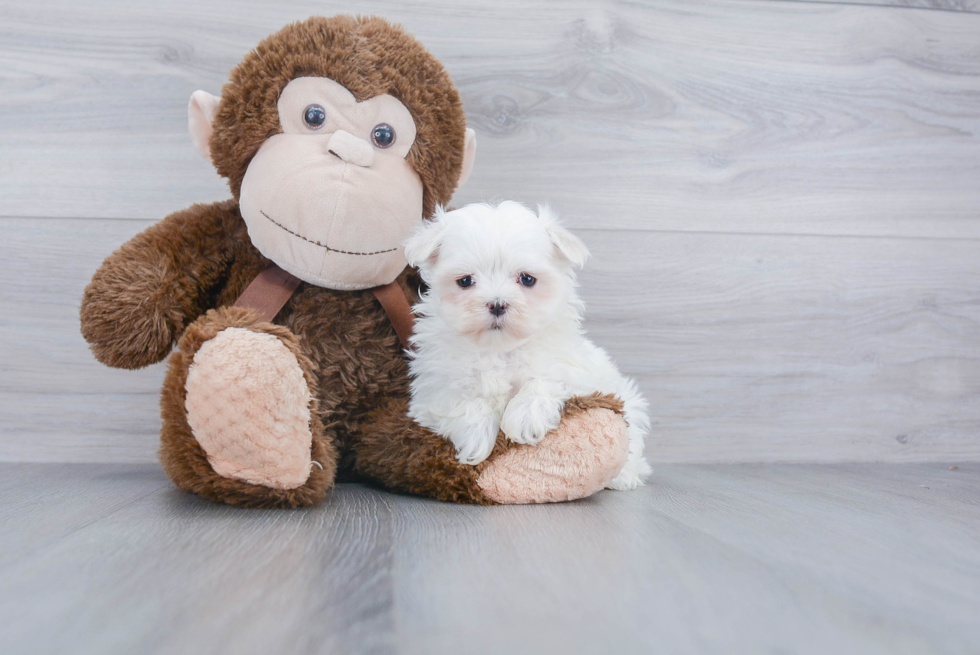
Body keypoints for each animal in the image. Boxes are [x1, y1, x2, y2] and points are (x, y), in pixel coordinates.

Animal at [402, 202, 656, 490]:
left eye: (527, 279)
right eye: (465, 281)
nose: (497, 303)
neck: (500, 348)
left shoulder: (575, 372)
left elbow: (544, 380)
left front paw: (524, 418)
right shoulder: (434, 389)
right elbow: (464, 401)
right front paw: (474, 437)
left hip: (629, 402)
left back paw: (626, 474)